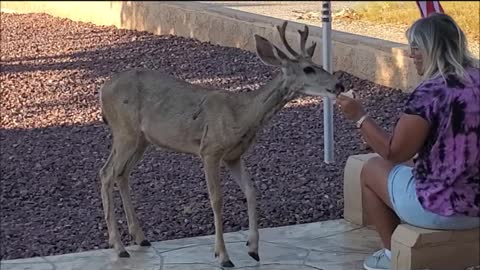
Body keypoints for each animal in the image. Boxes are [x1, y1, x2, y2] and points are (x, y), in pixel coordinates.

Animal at [98, 21, 344, 268]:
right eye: (308, 69)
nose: (339, 84)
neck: (242, 115)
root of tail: (103, 90)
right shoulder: (210, 150)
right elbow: (217, 199)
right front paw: (223, 256)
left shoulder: (234, 155)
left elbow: (251, 191)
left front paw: (253, 249)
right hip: (125, 132)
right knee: (107, 173)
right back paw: (119, 247)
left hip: (141, 139)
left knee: (121, 174)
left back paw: (140, 238)